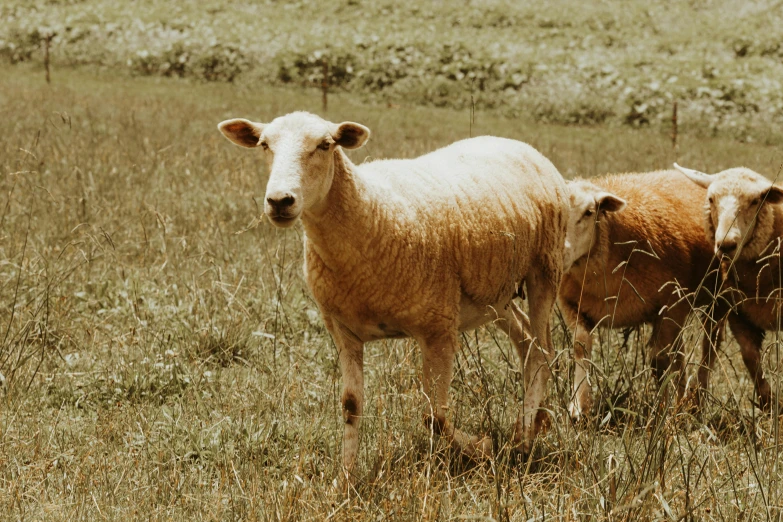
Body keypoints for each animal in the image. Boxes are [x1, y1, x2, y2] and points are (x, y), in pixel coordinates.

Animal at [217, 111, 568, 478]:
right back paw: (525, 428)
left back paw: (525, 440)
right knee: (526, 343)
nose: (279, 201)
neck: (369, 211)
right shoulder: (343, 331)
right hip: (494, 295)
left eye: (325, 145)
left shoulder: (439, 328)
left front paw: (481, 448)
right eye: (264, 144)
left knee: (543, 351)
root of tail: (517, 144)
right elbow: (351, 406)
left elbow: (434, 416)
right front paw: (346, 479)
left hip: (546, 268)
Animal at [672, 162, 783, 406]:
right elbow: (750, 358)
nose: (726, 245)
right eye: (711, 199)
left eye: (755, 201)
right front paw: (769, 403)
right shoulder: (739, 315)